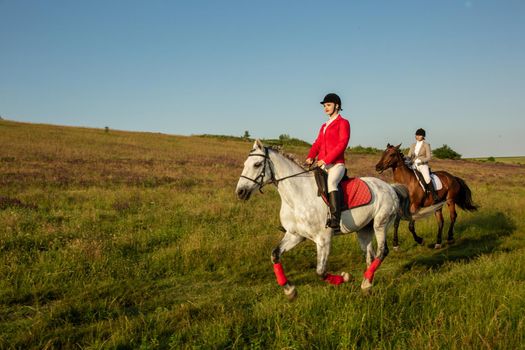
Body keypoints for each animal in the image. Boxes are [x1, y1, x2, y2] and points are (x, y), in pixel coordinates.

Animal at [235, 139, 400, 298]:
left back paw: (366, 283)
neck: (297, 197)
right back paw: (367, 283)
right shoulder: (295, 235)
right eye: (245, 164)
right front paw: (289, 290)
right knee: (370, 255)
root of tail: (390, 188)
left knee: (382, 252)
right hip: (364, 230)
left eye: (257, 164)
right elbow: (275, 255)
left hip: (380, 224)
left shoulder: (323, 239)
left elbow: (321, 272)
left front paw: (345, 277)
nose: (240, 192)